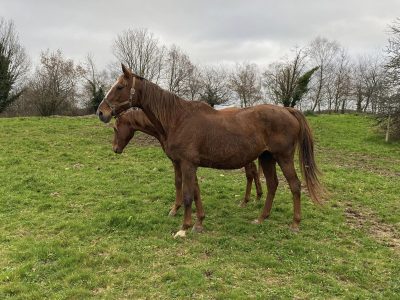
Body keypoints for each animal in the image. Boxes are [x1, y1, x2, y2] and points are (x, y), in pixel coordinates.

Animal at [112, 108, 262, 213]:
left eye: (115, 128)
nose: (115, 149)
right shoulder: (181, 161)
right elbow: (183, 183)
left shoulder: (180, 161)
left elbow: (181, 183)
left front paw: (178, 208)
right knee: (253, 172)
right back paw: (256, 197)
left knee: (250, 173)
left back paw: (248, 200)